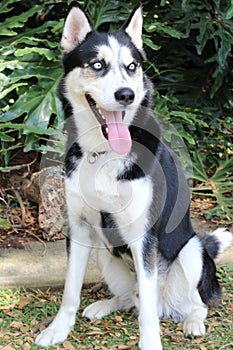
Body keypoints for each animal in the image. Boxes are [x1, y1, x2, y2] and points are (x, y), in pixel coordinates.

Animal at [35, 2, 233, 348]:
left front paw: (150, 342)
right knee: (132, 298)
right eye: (97, 64)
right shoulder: (80, 228)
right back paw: (105, 304)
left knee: (191, 302)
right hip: (105, 254)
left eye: (131, 66)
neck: (104, 153)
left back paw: (193, 322)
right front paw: (58, 329)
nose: (126, 94)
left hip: (192, 251)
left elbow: (149, 315)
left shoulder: (144, 237)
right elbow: (70, 290)